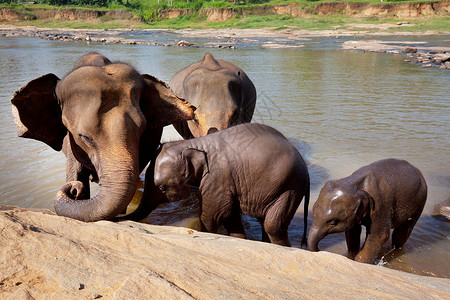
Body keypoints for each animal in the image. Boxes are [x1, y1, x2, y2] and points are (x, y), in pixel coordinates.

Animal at [10, 52, 195, 223]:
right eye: (84, 137)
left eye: (142, 129)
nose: (73, 190)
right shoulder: (71, 143)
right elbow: (76, 174)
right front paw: (79, 186)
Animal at [146, 122, 312, 246]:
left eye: (162, 188)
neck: (194, 143)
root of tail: (304, 165)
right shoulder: (228, 182)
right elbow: (230, 214)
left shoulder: (217, 179)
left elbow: (213, 214)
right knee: (265, 221)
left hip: (290, 187)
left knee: (273, 226)